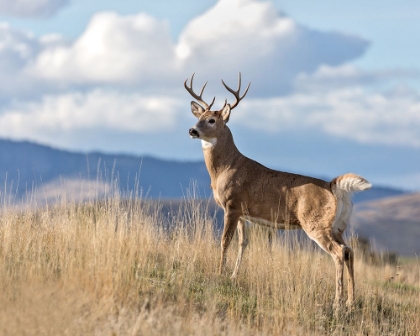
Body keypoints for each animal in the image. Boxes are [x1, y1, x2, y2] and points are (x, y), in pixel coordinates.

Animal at [184, 72, 370, 312]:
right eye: (200, 116)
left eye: (212, 120)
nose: (192, 130)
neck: (226, 167)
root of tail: (333, 186)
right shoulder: (242, 212)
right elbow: (243, 244)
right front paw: (233, 276)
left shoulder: (231, 205)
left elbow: (225, 241)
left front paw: (219, 274)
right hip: (338, 226)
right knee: (349, 251)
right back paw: (351, 302)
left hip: (316, 223)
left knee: (339, 253)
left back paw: (337, 303)